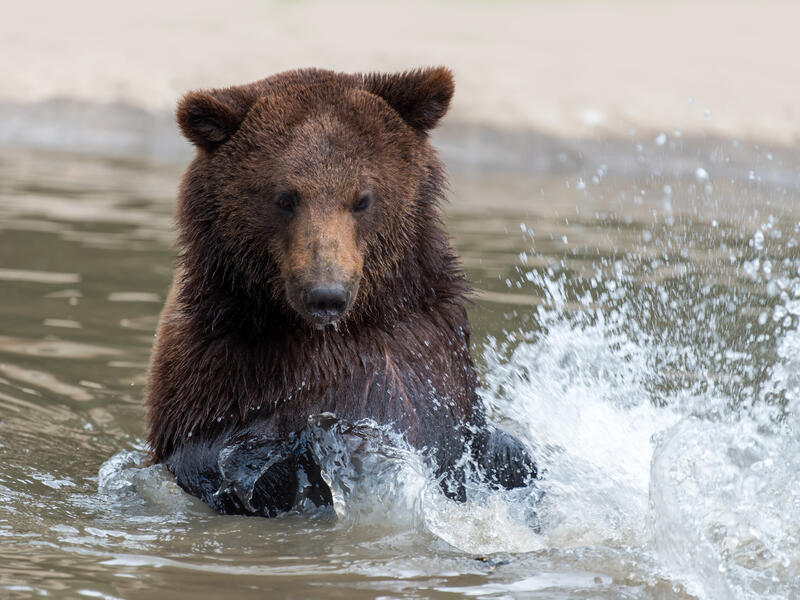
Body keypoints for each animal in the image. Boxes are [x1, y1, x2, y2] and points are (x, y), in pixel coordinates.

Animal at [145, 67, 537, 516]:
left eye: (362, 198)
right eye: (285, 197)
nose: (326, 294)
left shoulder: (430, 347)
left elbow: (492, 449)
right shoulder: (222, 368)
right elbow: (227, 461)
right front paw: (337, 439)